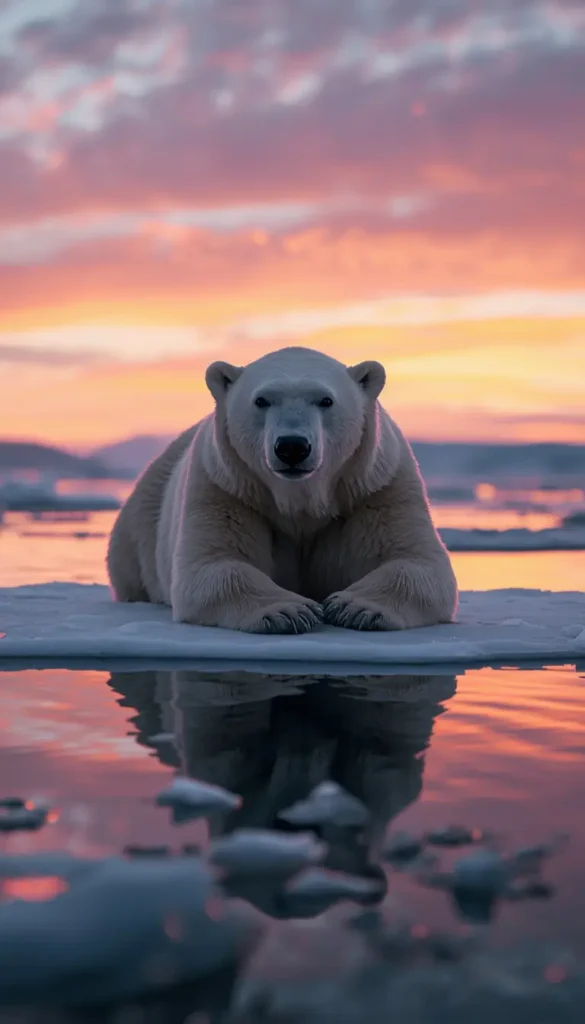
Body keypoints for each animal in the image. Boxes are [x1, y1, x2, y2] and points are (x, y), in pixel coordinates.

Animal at [107, 346, 458, 633]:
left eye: (326, 400)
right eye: (261, 400)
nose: (292, 446)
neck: (299, 501)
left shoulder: (376, 489)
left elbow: (418, 562)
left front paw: (354, 608)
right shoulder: (227, 488)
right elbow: (212, 566)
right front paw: (290, 611)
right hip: (141, 526)